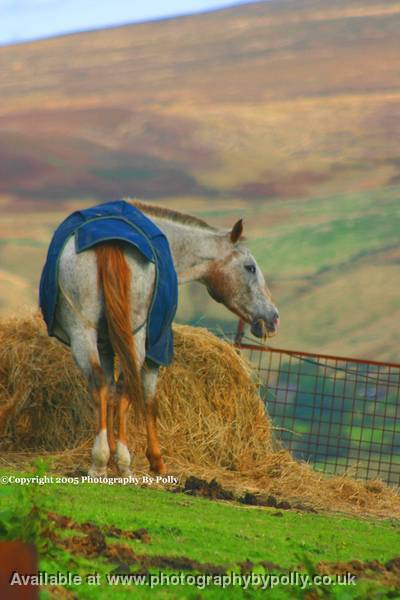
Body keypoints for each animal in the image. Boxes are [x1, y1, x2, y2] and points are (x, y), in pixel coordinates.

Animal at [48, 202, 280, 478]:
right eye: (250, 267)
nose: (273, 317)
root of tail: (109, 241)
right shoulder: (156, 347)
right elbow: (150, 400)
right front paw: (155, 460)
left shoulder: (105, 345)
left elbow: (110, 391)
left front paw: (112, 450)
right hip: (137, 337)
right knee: (128, 389)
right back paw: (124, 462)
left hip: (83, 332)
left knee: (100, 385)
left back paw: (100, 461)